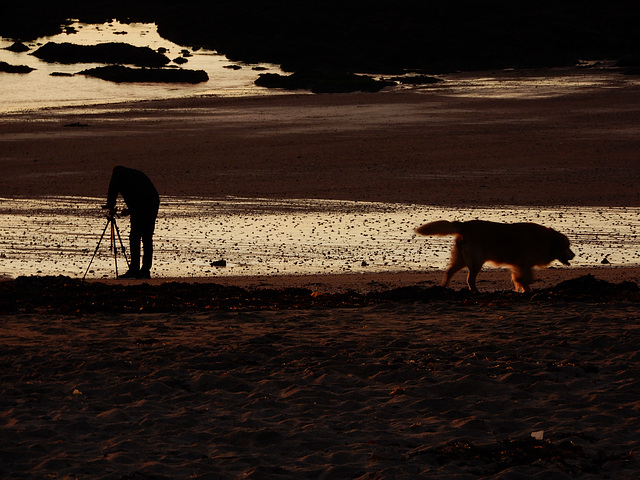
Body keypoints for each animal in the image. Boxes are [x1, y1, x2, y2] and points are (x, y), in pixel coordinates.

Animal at [416, 220, 576, 292]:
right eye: (567, 246)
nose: (574, 255)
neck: (547, 241)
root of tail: (464, 225)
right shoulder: (523, 263)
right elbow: (526, 278)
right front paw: (525, 287)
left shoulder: (519, 264)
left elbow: (522, 278)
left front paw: (523, 288)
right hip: (477, 260)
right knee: (470, 279)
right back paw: (475, 291)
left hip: (461, 259)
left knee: (449, 272)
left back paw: (443, 287)